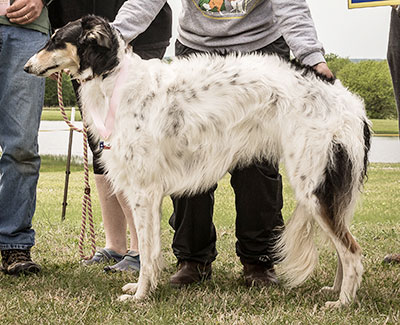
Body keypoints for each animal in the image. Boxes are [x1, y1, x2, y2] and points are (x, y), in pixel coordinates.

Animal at [25, 15, 372, 306]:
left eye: (56, 39)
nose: (26, 67)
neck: (115, 79)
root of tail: (350, 102)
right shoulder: (149, 195)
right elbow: (152, 251)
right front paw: (144, 289)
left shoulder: (143, 192)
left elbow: (147, 251)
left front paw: (139, 296)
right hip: (326, 190)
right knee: (344, 249)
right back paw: (335, 290)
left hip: (312, 185)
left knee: (353, 252)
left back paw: (342, 302)